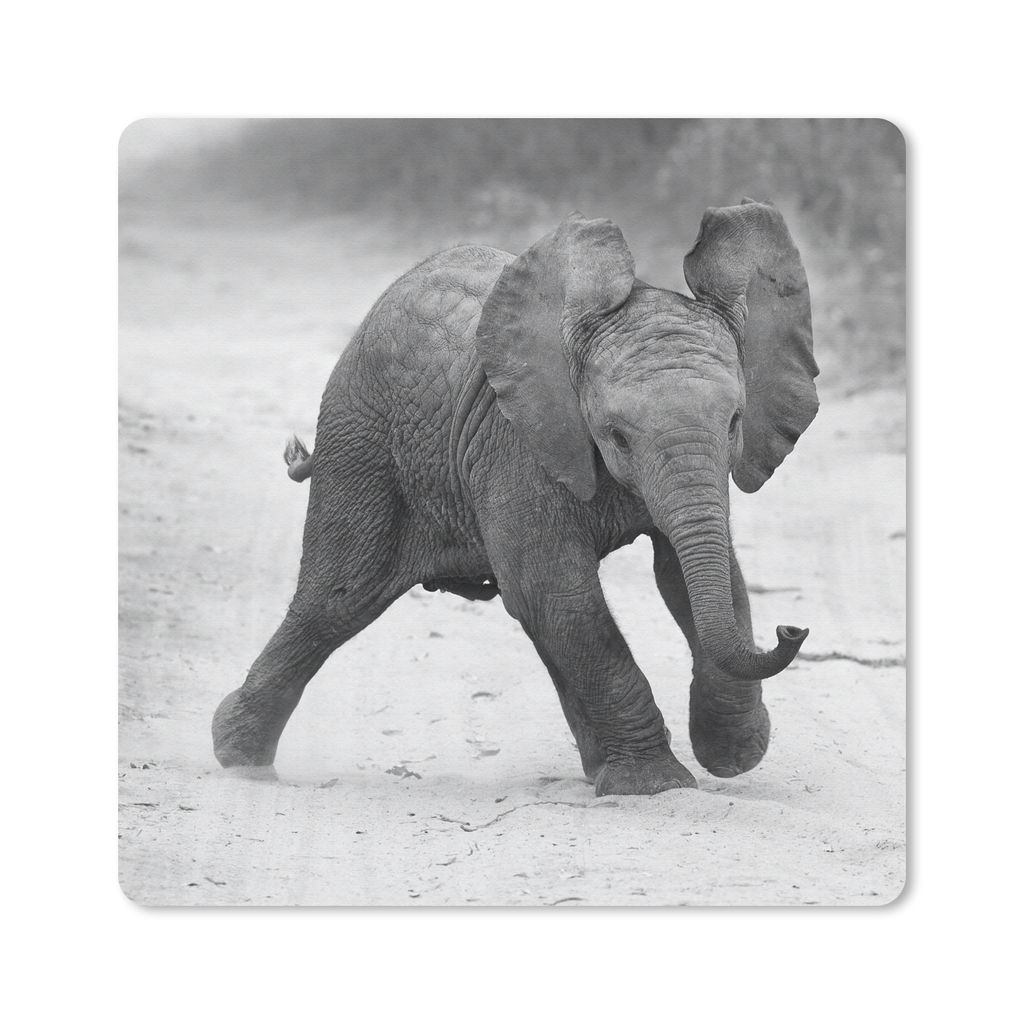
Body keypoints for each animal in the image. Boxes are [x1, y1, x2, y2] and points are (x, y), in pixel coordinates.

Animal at [212, 199, 819, 796]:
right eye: (617, 435)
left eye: (735, 421)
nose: (792, 629)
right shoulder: (516, 443)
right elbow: (558, 590)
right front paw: (656, 786)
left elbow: (694, 575)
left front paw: (732, 755)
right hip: (360, 441)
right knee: (337, 597)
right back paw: (238, 757)